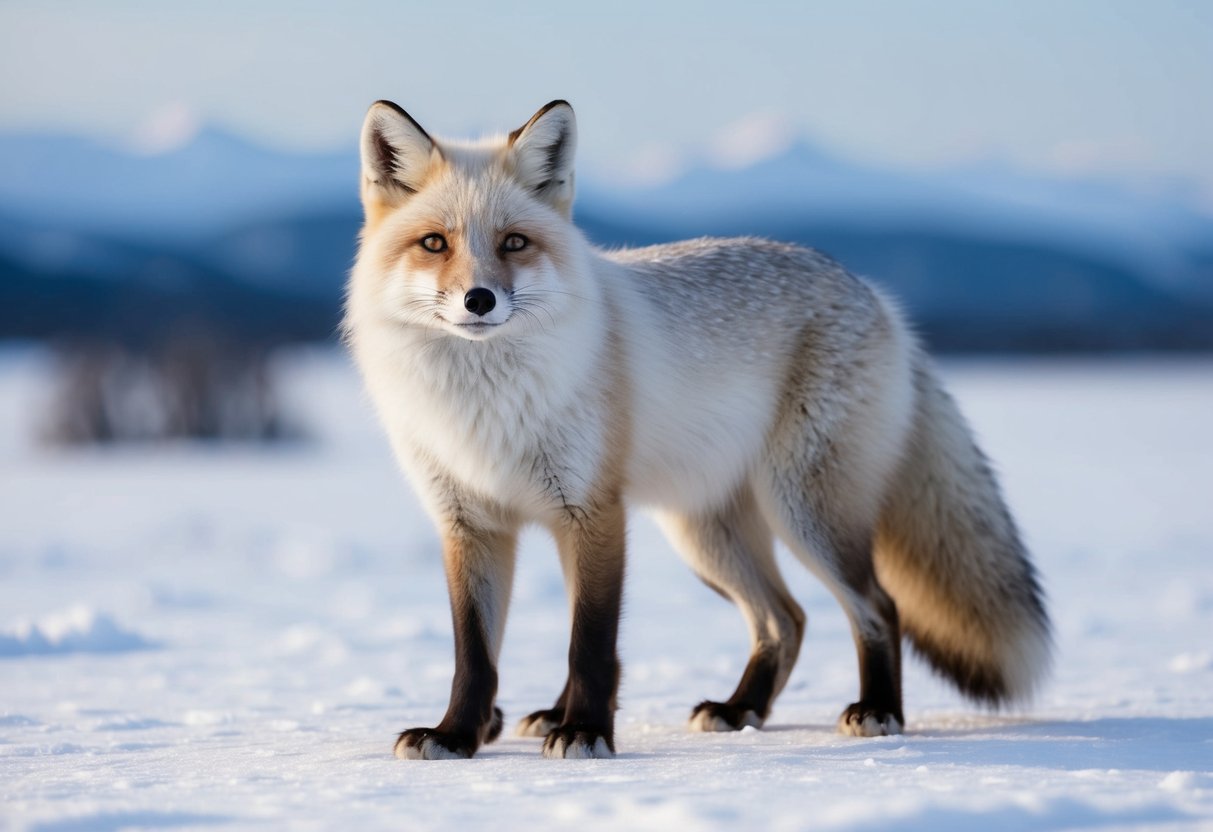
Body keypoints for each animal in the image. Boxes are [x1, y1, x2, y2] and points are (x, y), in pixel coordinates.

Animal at [344, 99, 1052, 760]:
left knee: (878, 607)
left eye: (514, 242)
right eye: (435, 243)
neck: (483, 407)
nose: (479, 300)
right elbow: (475, 655)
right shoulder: (470, 523)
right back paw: (740, 709)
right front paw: (459, 735)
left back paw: (878, 710)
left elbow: (590, 644)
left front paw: (585, 732)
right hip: (707, 534)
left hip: (806, 513)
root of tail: (877, 296)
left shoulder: (592, 512)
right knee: (785, 619)